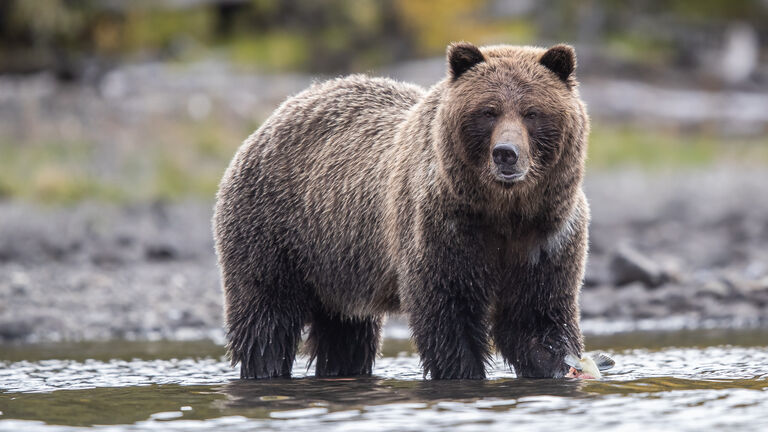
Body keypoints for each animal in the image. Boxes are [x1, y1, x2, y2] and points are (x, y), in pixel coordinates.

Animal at [213, 42, 592, 380]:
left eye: (531, 112)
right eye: (489, 111)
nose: (506, 153)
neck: (502, 212)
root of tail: (273, 118)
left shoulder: (545, 238)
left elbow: (536, 317)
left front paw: (564, 365)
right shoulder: (441, 229)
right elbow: (447, 314)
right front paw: (463, 372)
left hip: (339, 265)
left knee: (346, 333)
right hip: (274, 229)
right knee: (266, 317)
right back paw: (264, 369)